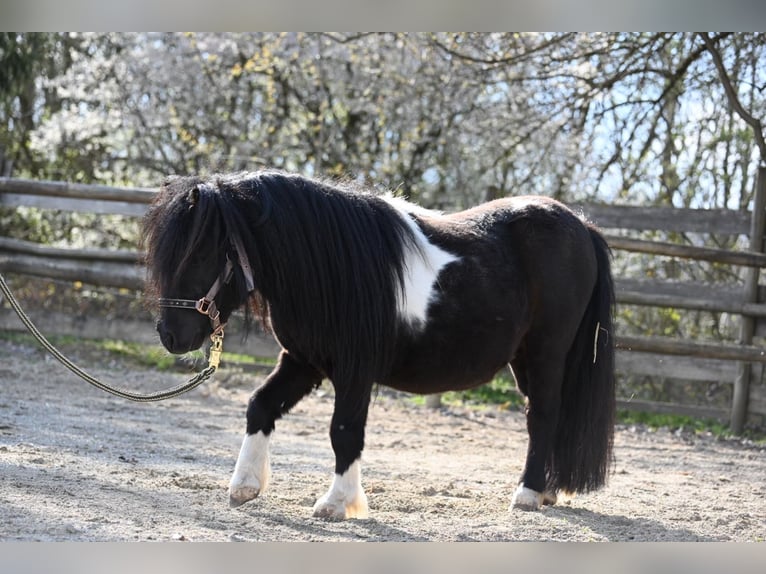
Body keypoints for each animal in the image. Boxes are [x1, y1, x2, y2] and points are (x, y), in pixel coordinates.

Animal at [144, 172, 616, 520]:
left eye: (200, 254)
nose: (170, 336)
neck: (330, 265)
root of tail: (582, 225)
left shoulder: (355, 371)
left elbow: (344, 431)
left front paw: (336, 503)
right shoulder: (303, 361)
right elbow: (260, 405)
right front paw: (244, 486)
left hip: (546, 353)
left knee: (543, 415)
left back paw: (528, 494)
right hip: (524, 360)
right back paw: (548, 491)